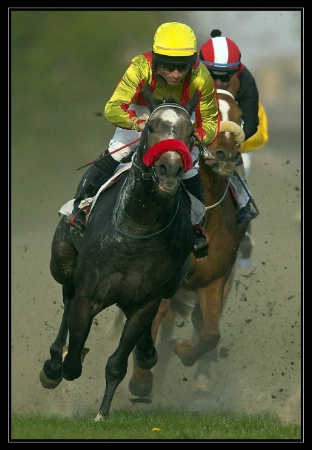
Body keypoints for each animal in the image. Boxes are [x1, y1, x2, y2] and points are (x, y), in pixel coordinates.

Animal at [40, 87, 199, 418]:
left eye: (190, 133)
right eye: (151, 128)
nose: (170, 169)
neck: (137, 229)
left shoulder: (144, 303)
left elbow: (117, 363)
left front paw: (102, 412)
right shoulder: (88, 294)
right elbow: (74, 356)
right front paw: (63, 362)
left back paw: (146, 352)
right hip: (63, 261)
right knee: (67, 297)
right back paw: (53, 363)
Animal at [127, 77, 251, 398]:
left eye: (238, 115)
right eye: (204, 115)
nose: (226, 155)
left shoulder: (214, 279)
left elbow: (209, 333)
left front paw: (185, 352)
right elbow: (148, 323)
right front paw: (140, 379)